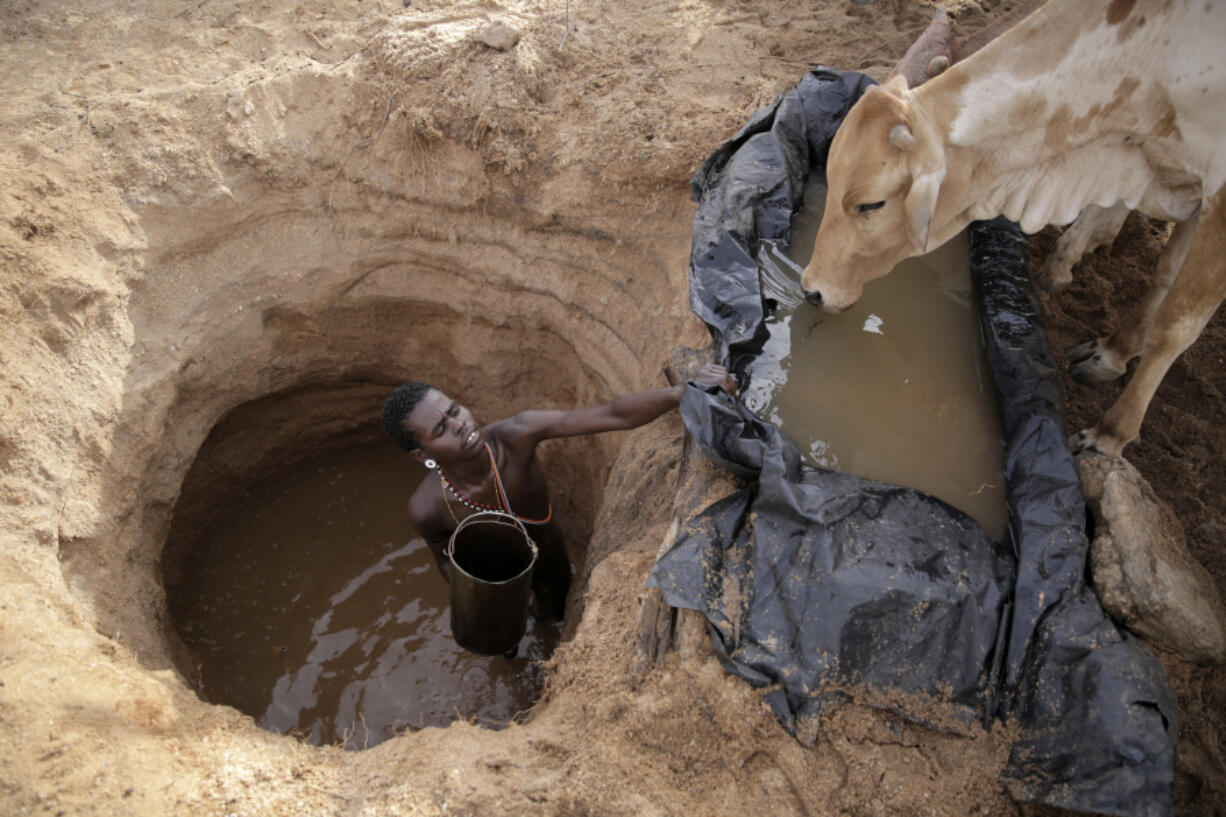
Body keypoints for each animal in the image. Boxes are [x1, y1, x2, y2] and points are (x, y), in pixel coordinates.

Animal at [804, 0, 1226, 453]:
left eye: (871, 204)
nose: (811, 289)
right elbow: (1163, 276)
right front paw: (1112, 351)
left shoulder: (1214, 198)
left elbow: (1173, 326)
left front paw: (1110, 433)